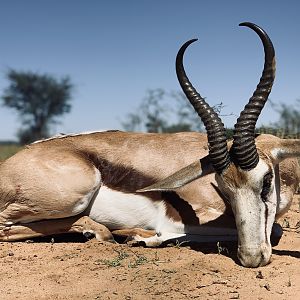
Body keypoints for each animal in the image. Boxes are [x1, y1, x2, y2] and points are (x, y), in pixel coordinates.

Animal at [0, 22, 300, 268]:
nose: (251, 258)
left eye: (266, 181)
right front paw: (139, 236)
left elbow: (276, 228)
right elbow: (272, 229)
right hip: (76, 195)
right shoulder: (184, 218)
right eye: (223, 188)